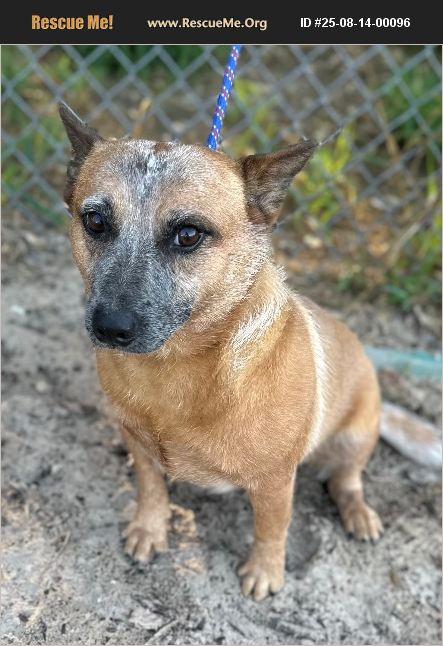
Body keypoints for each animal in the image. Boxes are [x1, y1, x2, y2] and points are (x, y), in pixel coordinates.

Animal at [58, 102, 440, 601]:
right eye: (96, 222)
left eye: (188, 235)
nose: (109, 328)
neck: (172, 368)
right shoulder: (139, 447)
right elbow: (151, 490)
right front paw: (149, 528)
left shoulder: (275, 482)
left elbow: (271, 529)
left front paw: (265, 572)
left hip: (356, 436)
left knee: (347, 480)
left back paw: (358, 514)